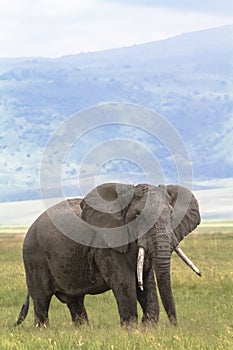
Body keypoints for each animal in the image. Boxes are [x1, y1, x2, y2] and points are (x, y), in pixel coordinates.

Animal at [16, 183, 200, 328]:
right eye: (136, 216)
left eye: (171, 213)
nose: (174, 326)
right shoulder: (105, 245)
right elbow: (125, 282)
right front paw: (131, 329)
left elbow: (145, 282)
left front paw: (148, 327)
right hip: (34, 256)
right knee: (41, 299)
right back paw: (43, 331)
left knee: (75, 301)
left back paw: (83, 330)